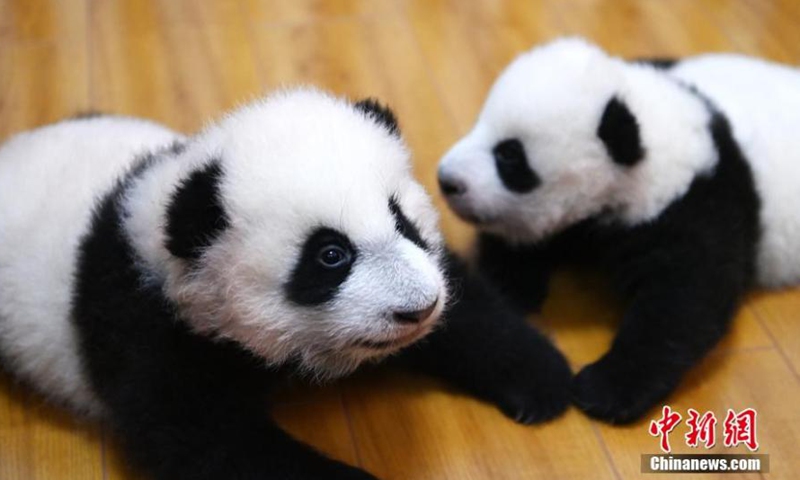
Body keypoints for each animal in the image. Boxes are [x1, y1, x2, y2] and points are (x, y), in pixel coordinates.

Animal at [0, 88, 572, 479]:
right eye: (330, 256)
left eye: (402, 220)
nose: (418, 309)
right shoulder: (147, 324)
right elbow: (203, 435)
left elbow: (468, 309)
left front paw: (543, 378)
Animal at [437, 38, 800, 424]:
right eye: (479, 123)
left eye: (509, 155)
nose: (447, 181)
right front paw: (512, 287)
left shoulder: (700, 201)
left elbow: (684, 300)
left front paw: (605, 390)